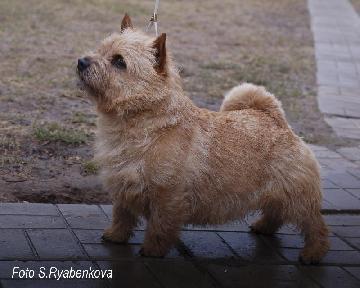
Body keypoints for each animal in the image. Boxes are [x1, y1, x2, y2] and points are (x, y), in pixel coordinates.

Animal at [78, 14, 330, 264]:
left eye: (119, 61)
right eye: (100, 50)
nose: (81, 61)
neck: (139, 124)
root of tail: (274, 118)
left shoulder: (167, 194)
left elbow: (159, 226)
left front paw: (152, 250)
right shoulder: (123, 184)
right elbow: (122, 215)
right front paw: (115, 236)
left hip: (296, 194)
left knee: (314, 224)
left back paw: (312, 253)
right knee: (276, 212)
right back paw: (263, 227)